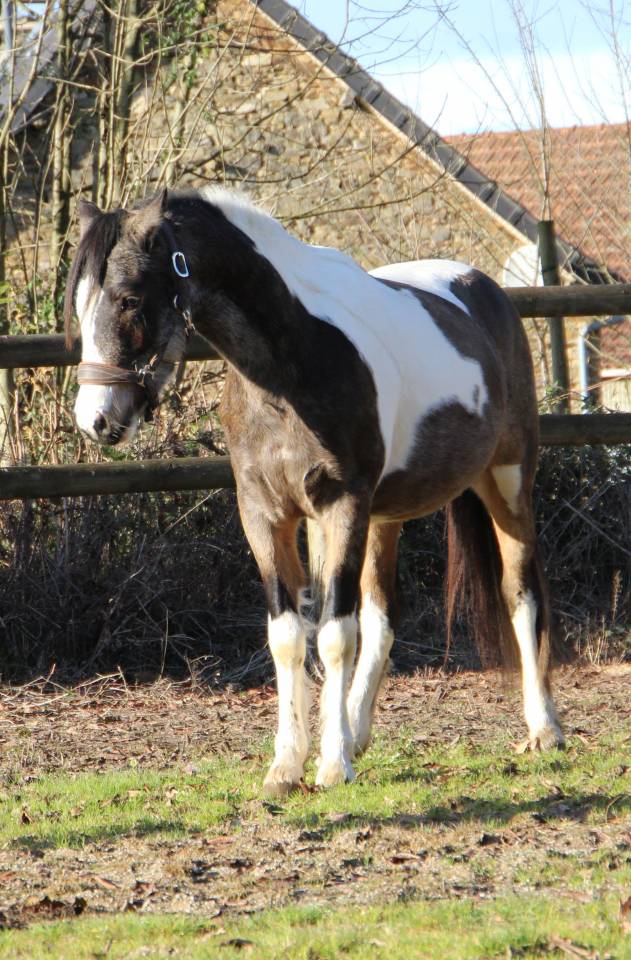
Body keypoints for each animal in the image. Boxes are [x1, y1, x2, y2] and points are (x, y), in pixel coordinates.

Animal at [64, 187, 564, 796]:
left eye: (130, 299)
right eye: (79, 304)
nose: (96, 421)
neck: (290, 362)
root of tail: (487, 291)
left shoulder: (342, 505)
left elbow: (333, 635)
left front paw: (330, 765)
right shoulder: (266, 514)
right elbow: (289, 636)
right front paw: (288, 765)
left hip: (507, 482)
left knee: (521, 593)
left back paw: (543, 729)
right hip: (385, 515)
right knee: (381, 616)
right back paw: (355, 730)